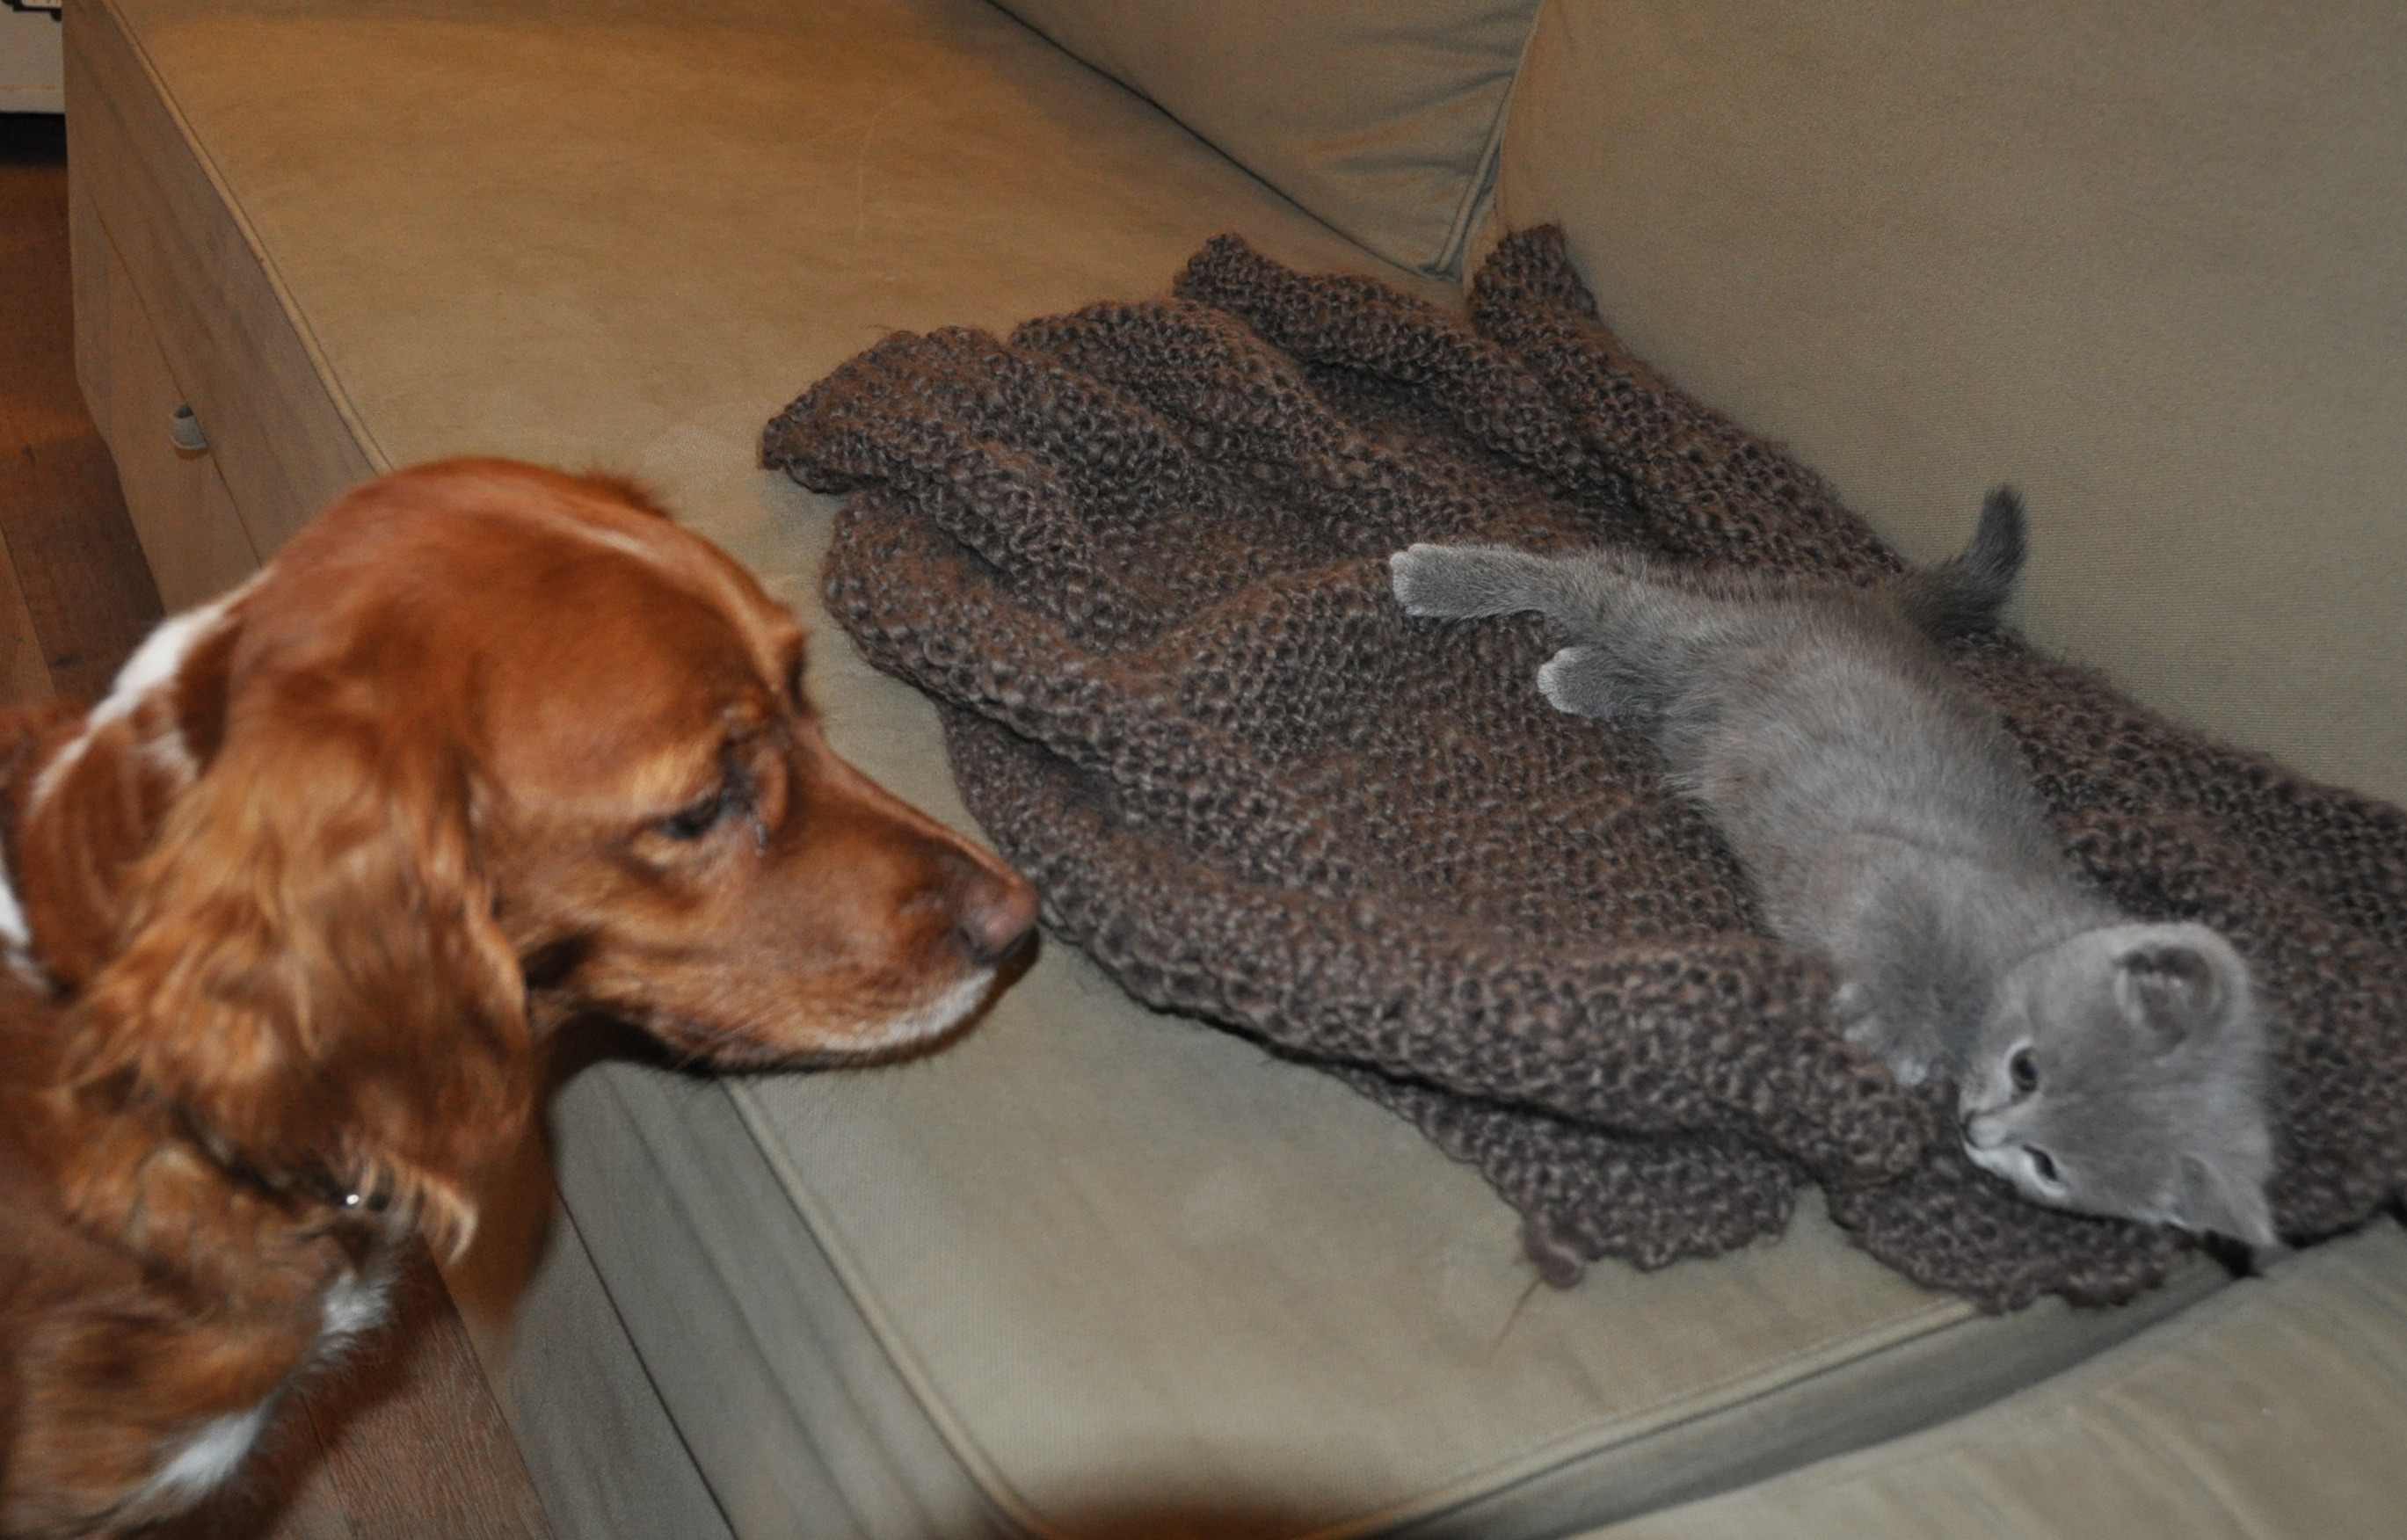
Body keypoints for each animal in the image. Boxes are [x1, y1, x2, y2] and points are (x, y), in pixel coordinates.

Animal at [1389, 489, 2277, 1246]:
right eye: (2027, 1069)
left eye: (2050, 1166)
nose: (1982, 1132)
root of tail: (1876, 608)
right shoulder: (1888, 869)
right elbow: (1893, 938)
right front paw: (1899, 1028)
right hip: (1687, 627)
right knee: (1593, 578)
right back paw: (1444, 577)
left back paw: (1588, 674)